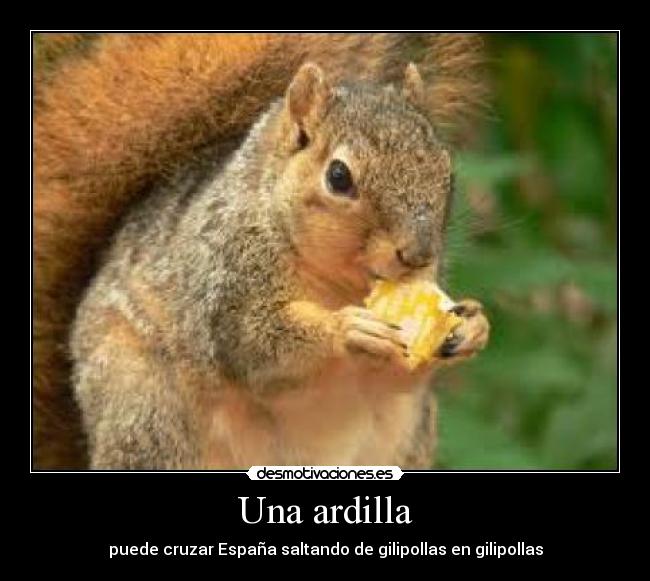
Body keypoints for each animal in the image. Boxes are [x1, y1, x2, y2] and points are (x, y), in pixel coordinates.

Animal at [34, 32, 490, 469]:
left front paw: (473, 326)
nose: (417, 256)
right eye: (338, 177)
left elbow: (399, 379)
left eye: (447, 171)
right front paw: (345, 329)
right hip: (145, 410)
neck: (340, 283)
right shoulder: (226, 279)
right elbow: (254, 344)